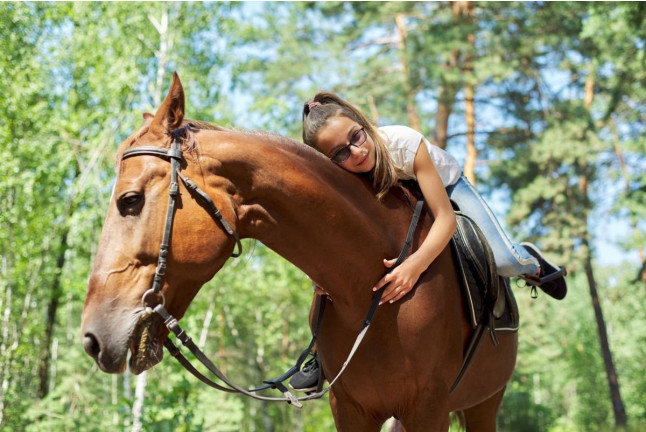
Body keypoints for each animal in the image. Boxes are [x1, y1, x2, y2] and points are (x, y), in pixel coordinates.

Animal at [81, 73, 517, 431]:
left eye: (130, 200)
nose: (92, 338)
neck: (368, 291)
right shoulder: (351, 409)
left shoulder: (428, 409)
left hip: (484, 404)